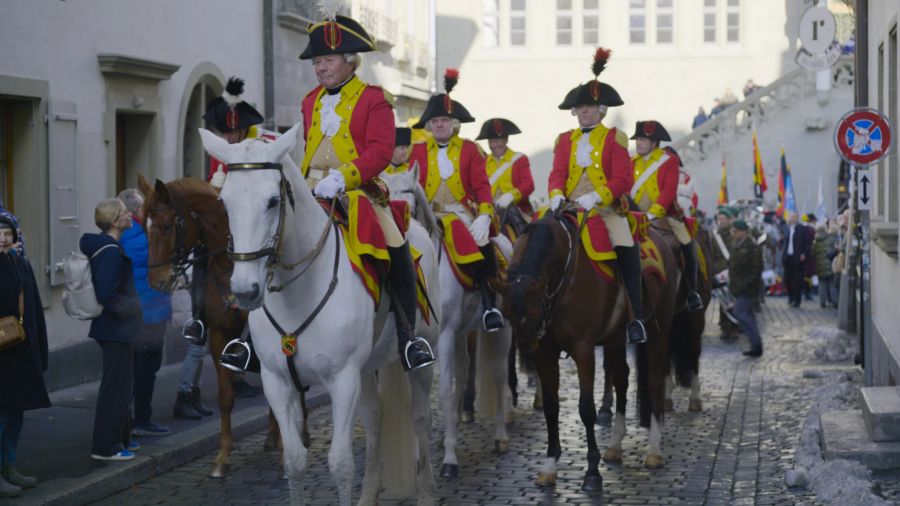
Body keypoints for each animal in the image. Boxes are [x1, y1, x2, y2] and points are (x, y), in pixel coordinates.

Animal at [139, 175, 280, 478]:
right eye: (144, 226)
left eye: (167, 226)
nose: (156, 281)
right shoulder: (217, 336)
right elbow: (225, 397)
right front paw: (223, 456)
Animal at [204, 123, 442, 506]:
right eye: (224, 202)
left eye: (273, 201)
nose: (244, 291)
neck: (299, 292)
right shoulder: (277, 381)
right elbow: (295, 462)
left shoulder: (342, 379)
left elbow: (340, 463)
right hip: (367, 366)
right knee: (374, 420)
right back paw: (369, 494)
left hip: (423, 355)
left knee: (421, 417)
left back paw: (427, 492)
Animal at [382, 166, 512, 478]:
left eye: (408, 202)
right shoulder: (416, 346)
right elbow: (421, 400)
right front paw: (421, 455)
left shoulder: (444, 337)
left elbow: (442, 394)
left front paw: (449, 460)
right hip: (462, 335)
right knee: (463, 375)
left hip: (502, 331)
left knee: (499, 375)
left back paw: (500, 435)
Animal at [496, 211, 680, 492]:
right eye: (506, 311)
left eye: (535, 309)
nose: (526, 347)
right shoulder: (545, 353)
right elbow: (551, 407)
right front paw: (549, 466)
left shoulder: (583, 350)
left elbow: (586, 409)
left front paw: (592, 471)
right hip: (616, 338)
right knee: (622, 380)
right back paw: (615, 446)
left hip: (658, 331)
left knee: (654, 383)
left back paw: (654, 451)